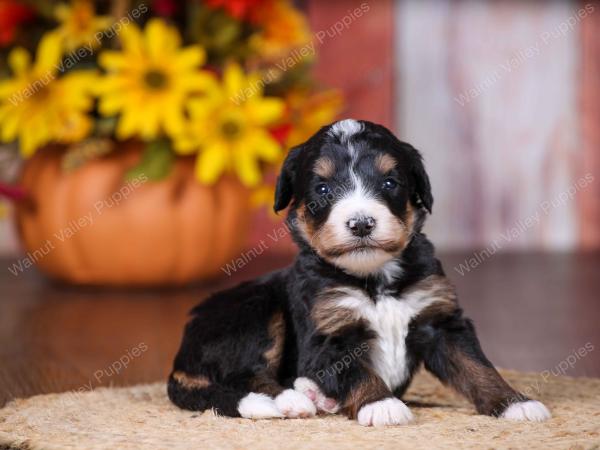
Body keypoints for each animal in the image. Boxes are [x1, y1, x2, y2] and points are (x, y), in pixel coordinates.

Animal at [166, 118, 552, 426]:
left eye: (389, 183)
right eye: (323, 189)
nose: (362, 223)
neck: (375, 278)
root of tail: (180, 356)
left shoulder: (441, 320)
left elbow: (477, 366)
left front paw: (514, 404)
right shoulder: (329, 334)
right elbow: (356, 372)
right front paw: (381, 404)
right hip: (254, 308)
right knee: (245, 374)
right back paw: (293, 399)